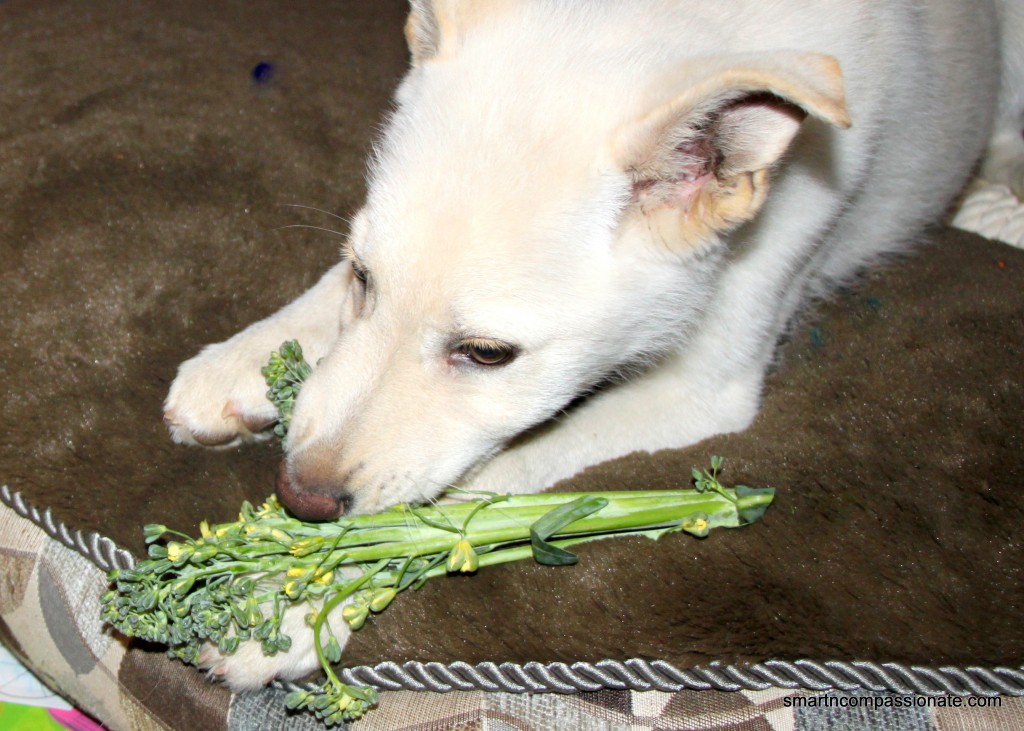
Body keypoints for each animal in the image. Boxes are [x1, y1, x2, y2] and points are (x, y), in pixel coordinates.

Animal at [163, 0, 1019, 688]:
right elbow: (323, 313)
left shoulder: (701, 385)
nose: (300, 499)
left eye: (488, 354)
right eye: (365, 277)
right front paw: (239, 362)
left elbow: (492, 481)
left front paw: (299, 589)